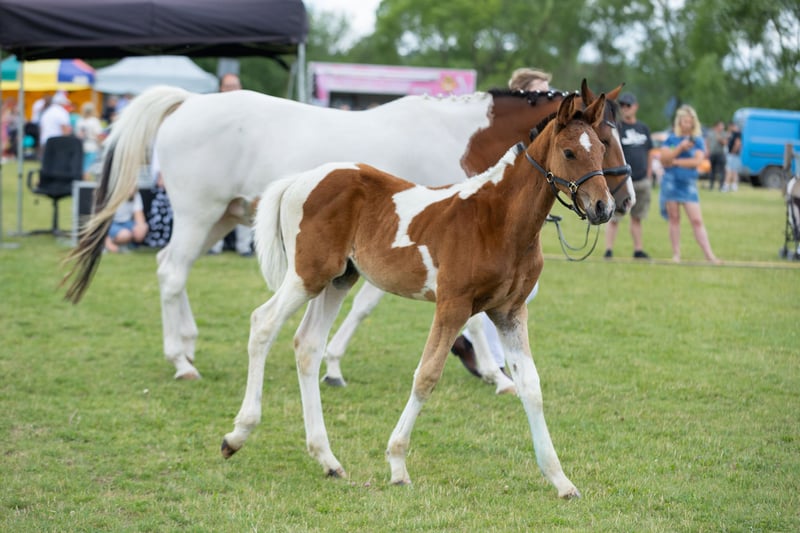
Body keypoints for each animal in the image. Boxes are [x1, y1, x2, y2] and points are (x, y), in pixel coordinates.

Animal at [62, 81, 631, 382]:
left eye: (610, 137)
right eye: (596, 141)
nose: (617, 203)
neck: (458, 137)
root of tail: (189, 102)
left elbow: (365, 302)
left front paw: (332, 363)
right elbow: (451, 314)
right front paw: (494, 372)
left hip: (220, 216)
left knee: (170, 270)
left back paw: (187, 344)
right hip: (199, 212)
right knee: (172, 273)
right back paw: (181, 361)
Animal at [220, 92, 613, 499]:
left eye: (602, 147)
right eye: (569, 152)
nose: (604, 207)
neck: (498, 219)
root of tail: (301, 179)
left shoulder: (509, 312)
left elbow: (531, 387)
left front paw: (560, 479)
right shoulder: (453, 304)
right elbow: (426, 376)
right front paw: (397, 464)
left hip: (339, 280)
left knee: (308, 345)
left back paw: (327, 459)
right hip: (307, 275)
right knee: (263, 324)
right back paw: (237, 435)